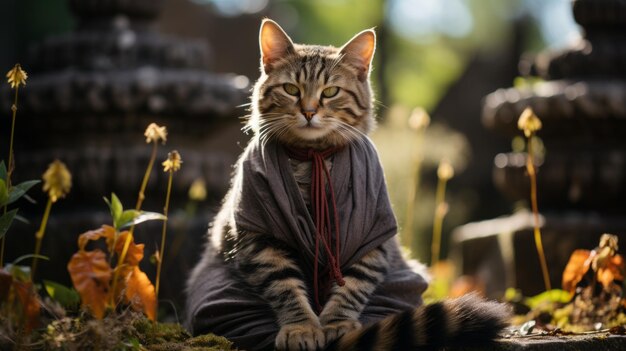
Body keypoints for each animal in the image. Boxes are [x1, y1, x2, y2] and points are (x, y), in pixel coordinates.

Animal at [185, 20, 508, 351]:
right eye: (291, 89)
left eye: (330, 92)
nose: (309, 111)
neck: (312, 159)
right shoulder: (260, 241)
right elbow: (285, 287)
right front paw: (301, 327)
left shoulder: (371, 241)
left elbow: (352, 287)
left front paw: (337, 325)